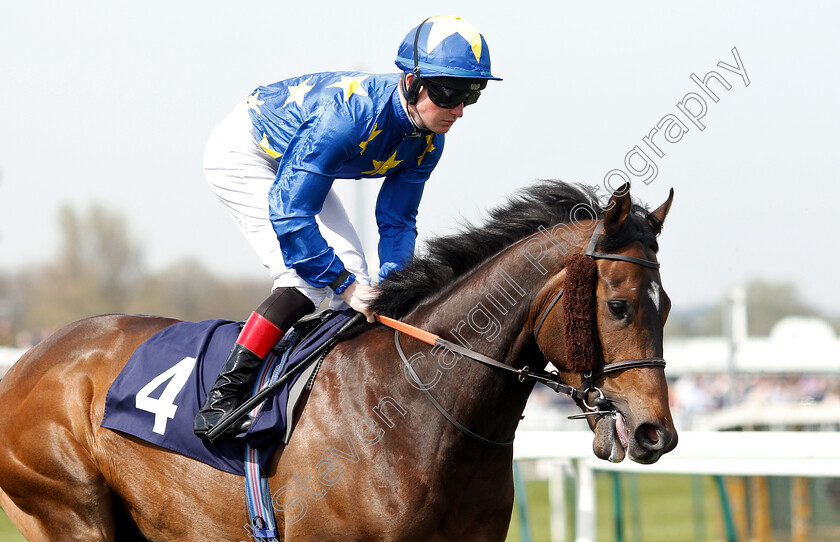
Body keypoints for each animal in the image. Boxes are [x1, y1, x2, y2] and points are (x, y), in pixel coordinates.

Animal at [0, 183, 672, 542]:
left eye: (664, 306)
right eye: (618, 305)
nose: (655, 433)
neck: (420, 412)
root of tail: (26, 361)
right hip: (68, 510)